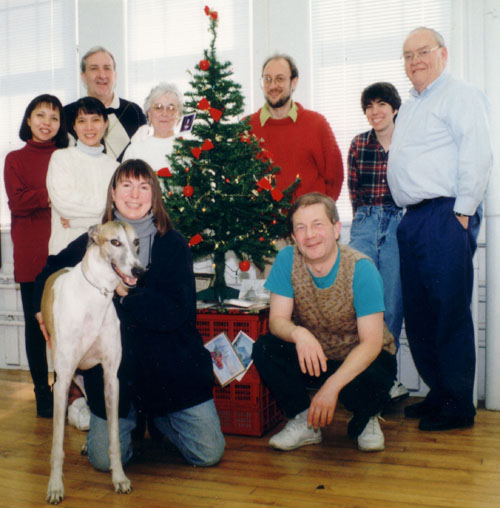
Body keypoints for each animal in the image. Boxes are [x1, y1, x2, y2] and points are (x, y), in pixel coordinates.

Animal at [41, 221, 145, 504]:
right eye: (114, 242)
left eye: (136, 242)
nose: (139, 271)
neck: (95, 295)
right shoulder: (62, 382)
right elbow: (56, 446)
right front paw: (55, 487)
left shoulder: (111, 378)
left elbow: (113, 437)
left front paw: (119, 478)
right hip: (66, 375)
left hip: (86, 379)